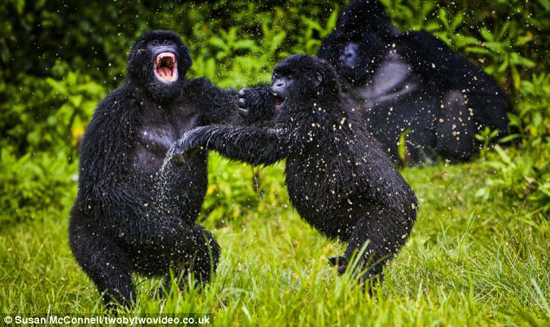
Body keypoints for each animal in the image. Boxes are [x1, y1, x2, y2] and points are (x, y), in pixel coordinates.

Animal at [67, 29, 244, 308]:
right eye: (152, 43)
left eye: (168, 40)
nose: (163, 45)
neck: (158, 98)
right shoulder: (114, 109)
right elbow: (103, 185)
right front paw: (184, 238)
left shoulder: (202, 92)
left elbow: (244, 123)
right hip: (84, 221)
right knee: (108, 266)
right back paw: (125, 307)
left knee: (199, 258)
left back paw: (169, 300)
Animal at [168, 56, 418, 288]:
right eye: (277, 76)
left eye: (288, 78)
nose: (277, 84)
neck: (323, 96)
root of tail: (413, 206)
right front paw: (257, 99)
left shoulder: (308, 116)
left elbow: (266, 145)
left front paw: (201, 134)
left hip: (392, 218)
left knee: (364, 256)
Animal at [316, 0, 516, 164]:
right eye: (343, 40)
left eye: (357, 39)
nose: (346, 54)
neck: (379, 52)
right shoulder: (327, 48)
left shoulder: (420, 43)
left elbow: (480, 86)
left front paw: (505, 139)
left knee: (455, 96)